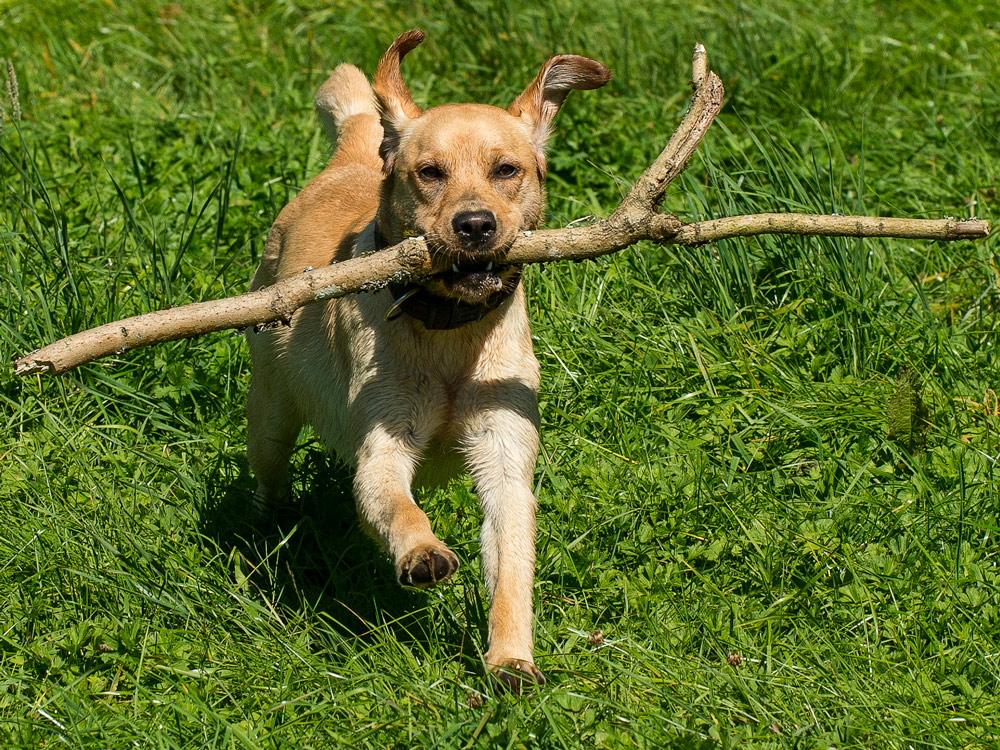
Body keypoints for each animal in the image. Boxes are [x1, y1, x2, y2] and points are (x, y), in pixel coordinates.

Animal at [248, 29, 608, 692]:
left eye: (506, 170)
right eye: (429, 174)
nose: (475, 225)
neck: (450, 335)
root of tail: (357, 154)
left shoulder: (505, 461)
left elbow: (512, 568)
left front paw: (511, 658)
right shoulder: (383, 448)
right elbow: (396, 505)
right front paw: (421, 552)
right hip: (270, 413)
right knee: (270, 470)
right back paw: (267, 523)